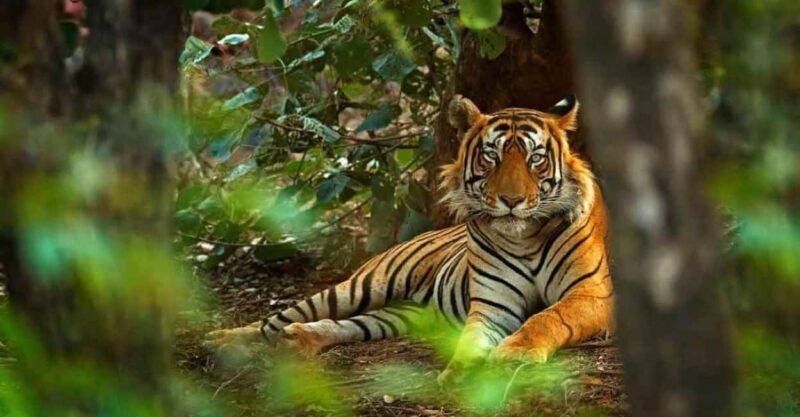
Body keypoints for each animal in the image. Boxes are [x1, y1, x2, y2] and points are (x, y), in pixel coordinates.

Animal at [204, 95, 615, 382]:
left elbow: (547, 317)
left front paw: (515, 353)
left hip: (403, 315)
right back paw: (223, 340)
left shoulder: (592, 293)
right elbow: (471, 339)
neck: (524, 237)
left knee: (348, 325)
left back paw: (298, 339)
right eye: (491, 157)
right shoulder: (492, 305)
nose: (511, 200)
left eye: (535, 159)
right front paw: (461, 373)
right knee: (277, 319)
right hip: (361, 286)